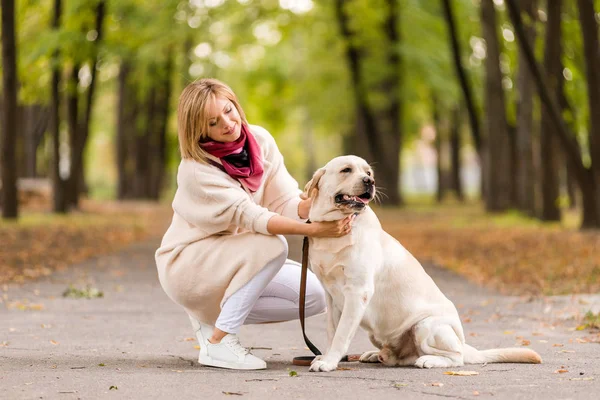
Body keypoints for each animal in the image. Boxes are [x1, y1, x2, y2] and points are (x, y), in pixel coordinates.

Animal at [302, 155, 540, 372]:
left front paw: (329, 362)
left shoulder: (357, 292)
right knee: (399, 357)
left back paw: (429, 360)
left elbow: (342, 334)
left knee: (455, 357)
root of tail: (464, 344)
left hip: (425, 325)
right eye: (346, 170)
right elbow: (332, 331)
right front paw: (326, 356)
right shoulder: (332, 296)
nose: (370, 181)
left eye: (368, 172)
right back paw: (377, 355)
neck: (334, 232)